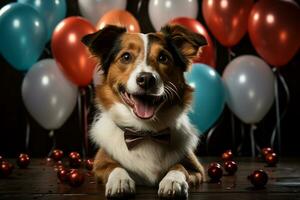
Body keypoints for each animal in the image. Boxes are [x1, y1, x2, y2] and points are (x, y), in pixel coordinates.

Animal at [81, 23, 207, 198]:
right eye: (126, 57)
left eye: (163, 58)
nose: (146, 79)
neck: (145, 131)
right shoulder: (100, 163)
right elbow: (114, 166)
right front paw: (120, 181)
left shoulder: (196, 168)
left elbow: (179, 167)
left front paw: (172, 181)